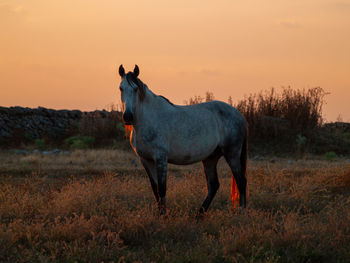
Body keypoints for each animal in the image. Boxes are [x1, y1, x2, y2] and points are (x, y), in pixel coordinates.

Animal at [117, 65, 246, 216]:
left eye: (136, 89)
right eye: (121, 88)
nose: (128, 116)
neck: (147, 120)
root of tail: (238, 115)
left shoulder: (161, 158)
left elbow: (162, 189)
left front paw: (164, 216)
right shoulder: (146, 160)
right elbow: (155, 190)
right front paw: (160, 215)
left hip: (232, 154)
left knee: (241, 181)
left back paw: (242, 212)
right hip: (210, 158)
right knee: (214, 185)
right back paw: (199, 215)